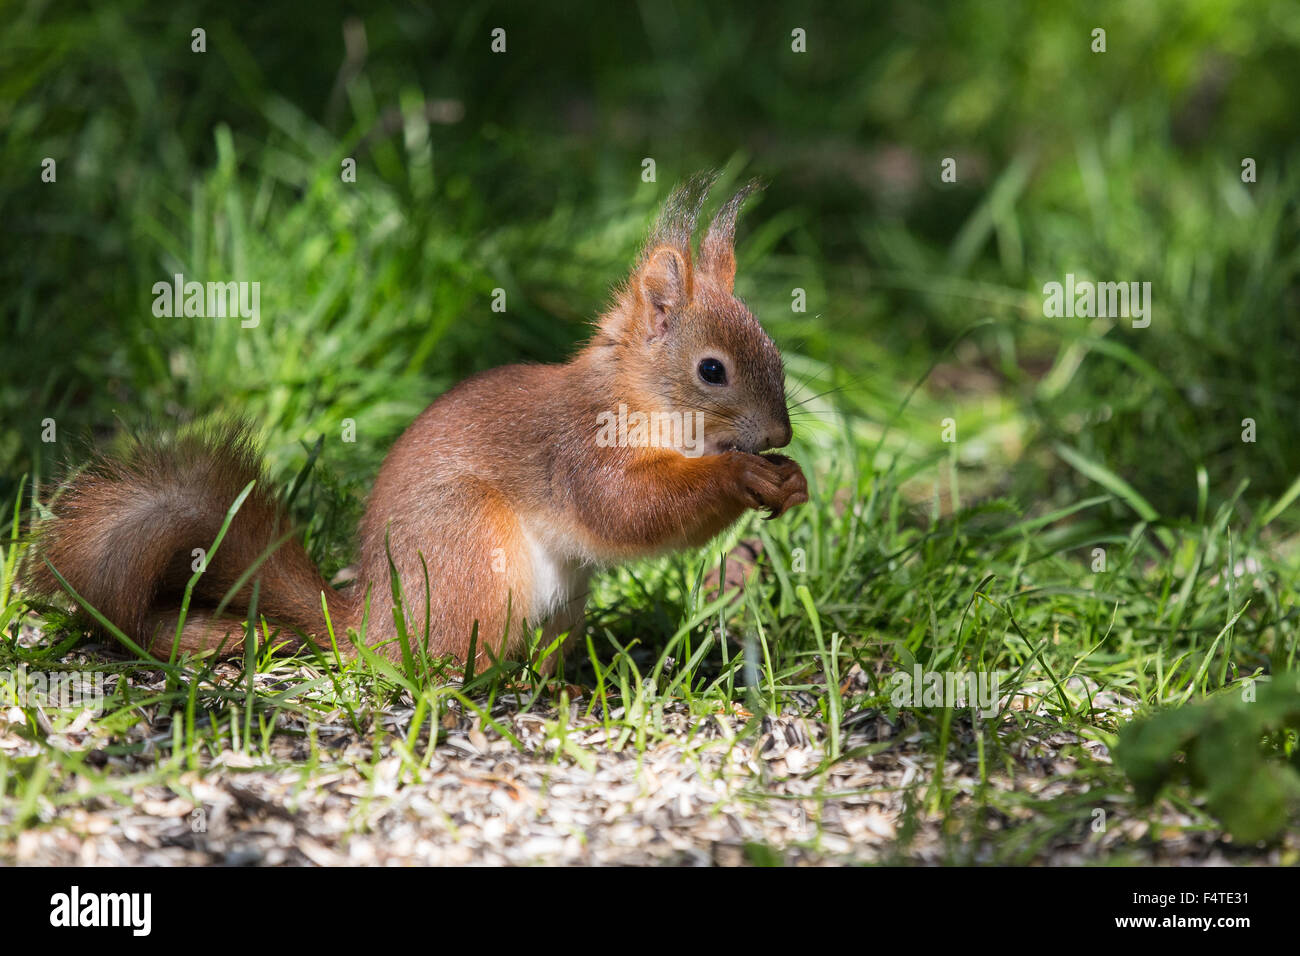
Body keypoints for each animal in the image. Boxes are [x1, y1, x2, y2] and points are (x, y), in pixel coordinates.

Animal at [23, 175, 808, 668]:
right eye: (712, 371)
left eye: (775, 351)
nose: (780, 438)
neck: (639, 401)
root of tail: (366, 625)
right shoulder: (580, 449)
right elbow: (628, 510)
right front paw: (742, 476)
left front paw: (792, 480)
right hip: (472, 551)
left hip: (560, 597)